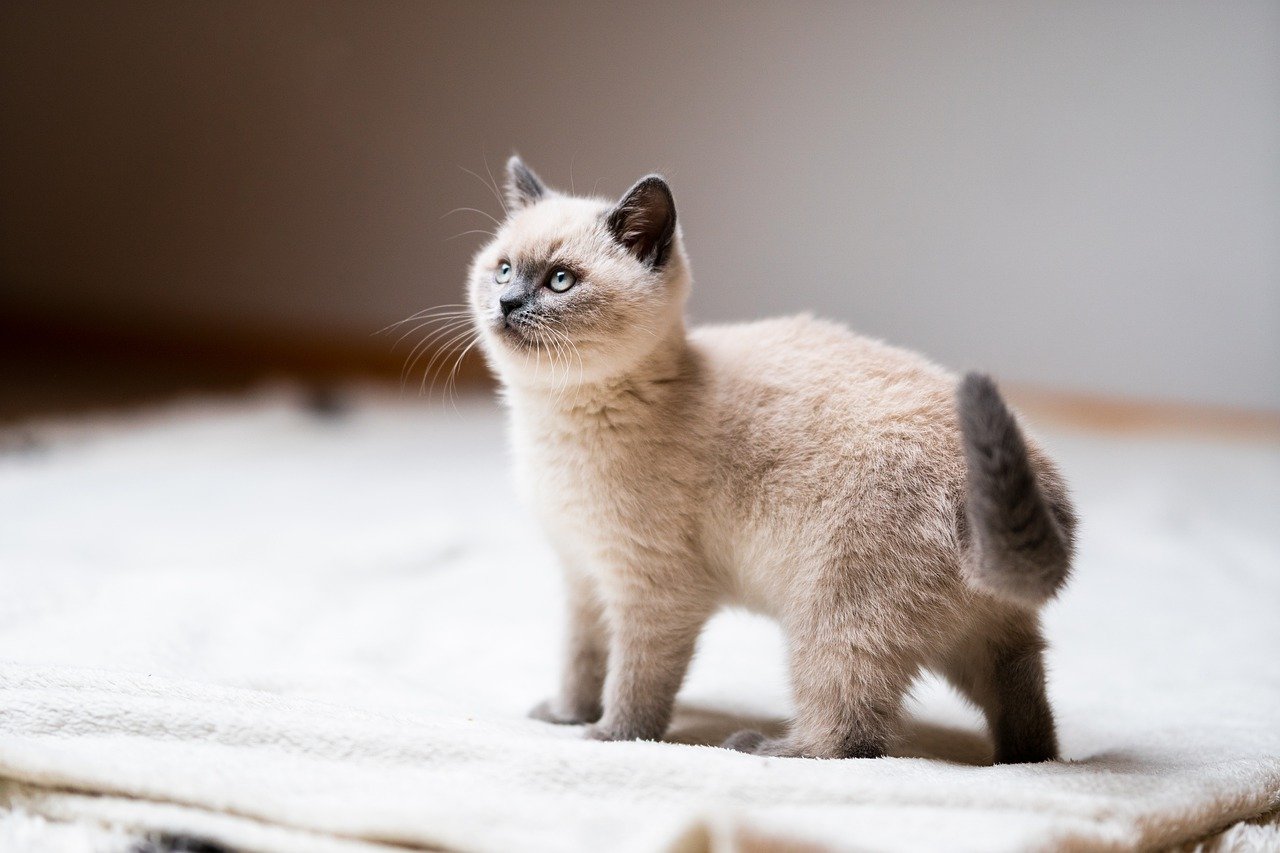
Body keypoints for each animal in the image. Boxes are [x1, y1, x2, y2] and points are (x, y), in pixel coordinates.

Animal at [465, 156, 1075, 758]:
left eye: (560, 280)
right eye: (503, 270)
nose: (507, 303)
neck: (553, 421)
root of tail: (1044, 481)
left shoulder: (653, 589)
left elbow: (634, 680)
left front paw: (610, 737)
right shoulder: (583, 576)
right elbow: (582, 661)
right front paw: (565, 716)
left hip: (830, 615)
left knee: (851, 732)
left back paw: (764, 747)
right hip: (981, 634)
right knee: (1027, 707)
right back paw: (1019, 763)